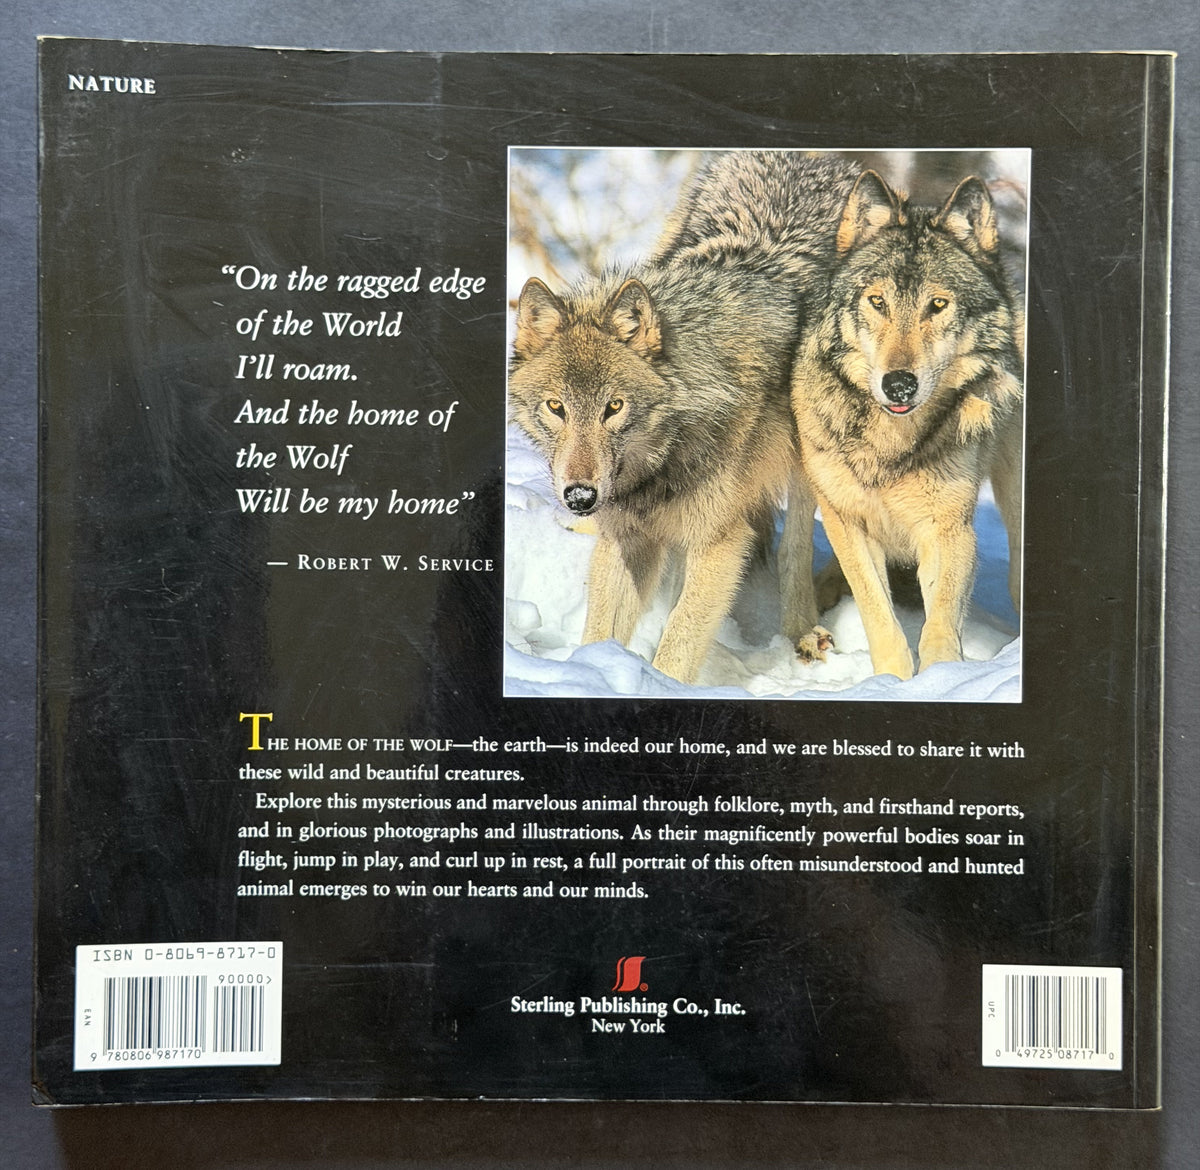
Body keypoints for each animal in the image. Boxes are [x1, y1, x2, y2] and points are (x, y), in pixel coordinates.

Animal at [509, 151, 859, 684]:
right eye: (556, 408)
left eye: (614, 407)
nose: (580, 497)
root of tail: (810, 158)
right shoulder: (628, 537)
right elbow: (600, 631)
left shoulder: (719, 543)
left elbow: (678, 645)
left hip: (810, 461)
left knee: (794, 547)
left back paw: (802, 632)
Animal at [788, 169, 1024, 680]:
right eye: (877, 301)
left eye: (937, 305)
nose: (898, 385)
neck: (890, 444)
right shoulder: (846, 520)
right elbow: (880, 618)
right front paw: (893, 682)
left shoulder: (949, 529)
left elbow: (940, 625)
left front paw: (941, 680)